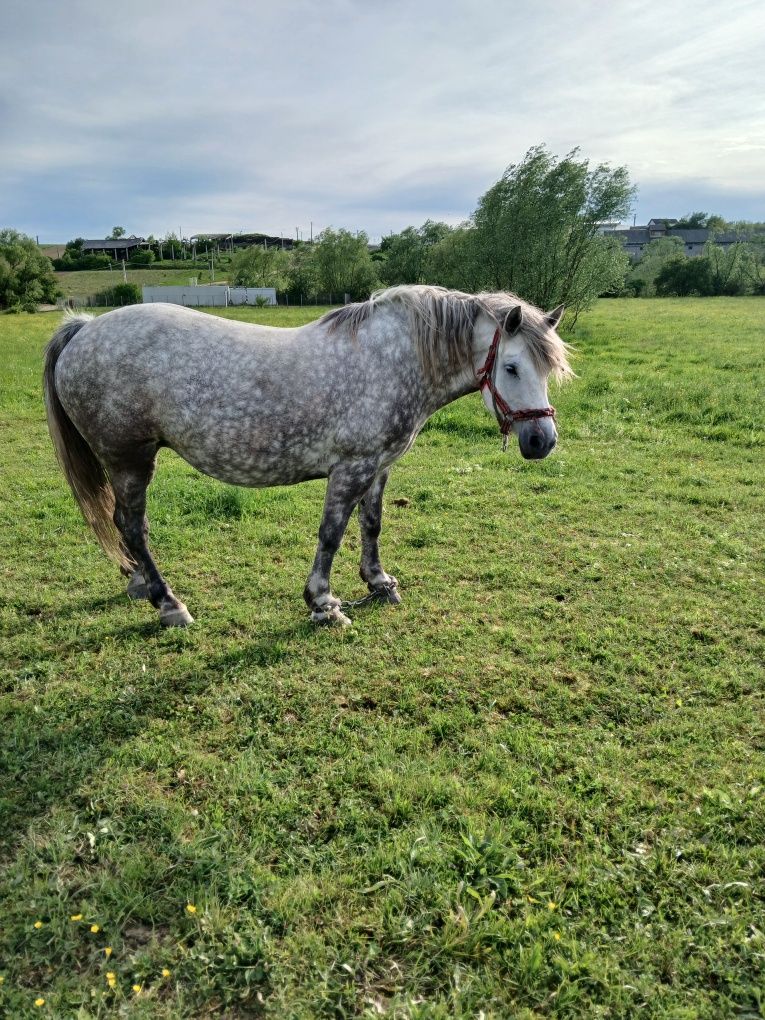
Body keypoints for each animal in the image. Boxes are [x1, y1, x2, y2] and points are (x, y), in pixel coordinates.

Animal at [41, 283, 571, 624]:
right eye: (511, 367)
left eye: (548, 368)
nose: (542, 441)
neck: (395, 358)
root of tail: (84, 329)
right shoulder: (350, 468)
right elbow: (331, 533)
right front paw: (323, 604)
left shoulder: (379, 466)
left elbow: (371, 524)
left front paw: (379, 582)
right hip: (129, 459)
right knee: (132, 525)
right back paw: (168, 602)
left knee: (122, 524)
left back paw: (136, 583)